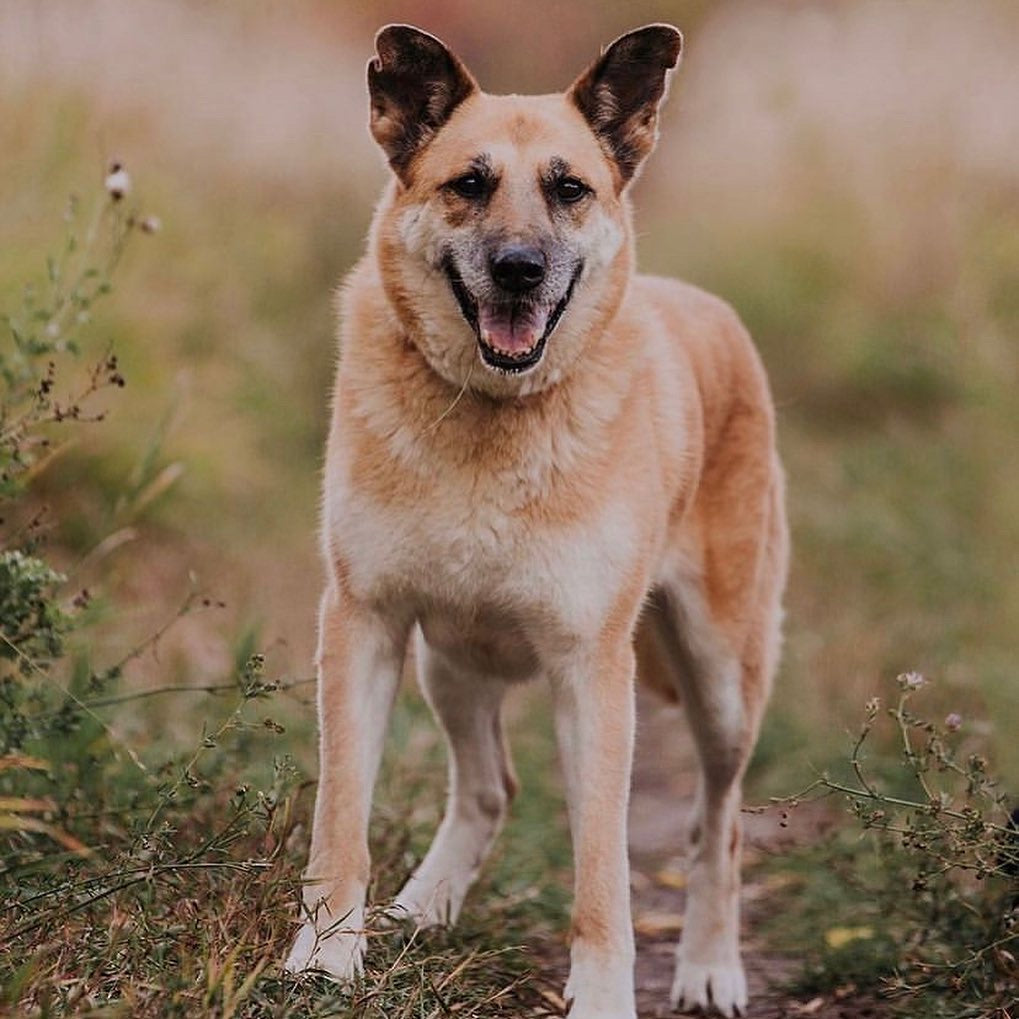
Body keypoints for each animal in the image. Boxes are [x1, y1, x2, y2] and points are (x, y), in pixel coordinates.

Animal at [285, 23, 786, 1019]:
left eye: (569, 188)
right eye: (468, 183)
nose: (518, 269)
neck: (493, 413)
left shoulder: (590, 671)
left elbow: (603, 872)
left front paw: (600, 994)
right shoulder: (364, 624)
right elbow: (340, 818)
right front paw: (326, 954)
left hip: (721, 682)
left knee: (717, 824)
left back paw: (709, 966)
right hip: (448, 660)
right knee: (490, 787)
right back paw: (424, 907)